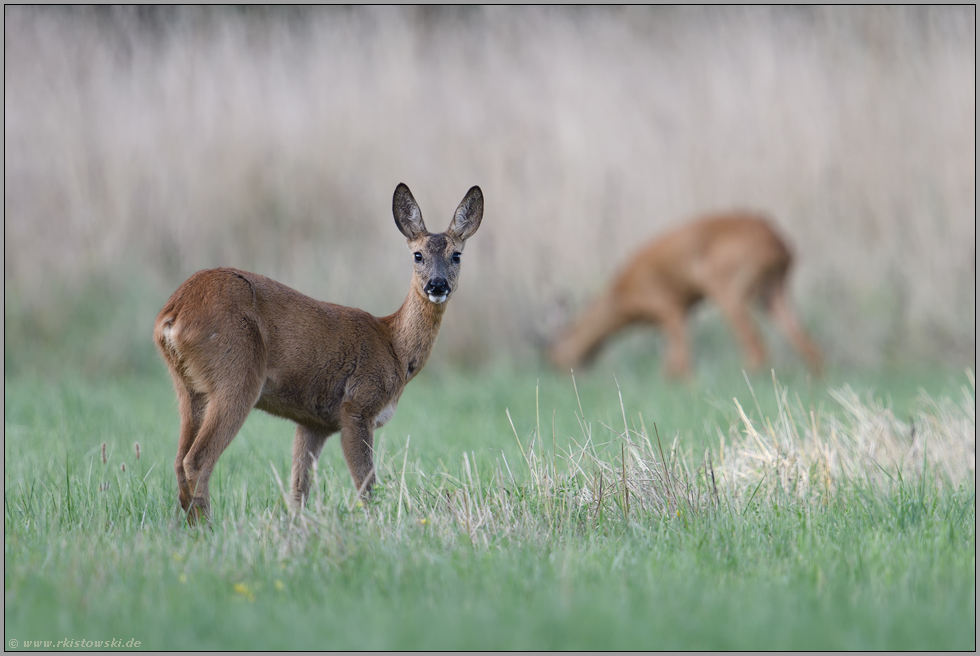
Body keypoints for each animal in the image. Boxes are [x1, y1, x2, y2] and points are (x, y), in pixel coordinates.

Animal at [154, 183, 483, 524]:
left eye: (456, 255)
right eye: (418, 255)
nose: (437, 285)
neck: (394, 346)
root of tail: (172, 316)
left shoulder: (314, 422)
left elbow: (299, 489)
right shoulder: (357, 406)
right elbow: (366, 485)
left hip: (188, 388)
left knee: (179, 460)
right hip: (237, 374)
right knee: (196, 460)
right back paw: (208, 527)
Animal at [548, 212, 823, 379]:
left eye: (553, 353)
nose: (559, 373)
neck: (619, 298)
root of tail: (780, 244)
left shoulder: (666, 306)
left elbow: (680, 364)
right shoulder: (682, 310)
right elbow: (671, 364)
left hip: (727, 288)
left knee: (758, 348)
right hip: (772, 291)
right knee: (809, 345)